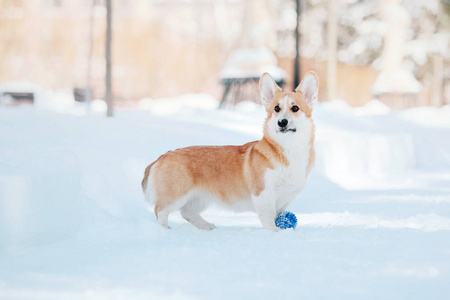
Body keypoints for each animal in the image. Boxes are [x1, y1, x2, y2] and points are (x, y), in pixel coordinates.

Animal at [142, 71, 318, 231]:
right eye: (276, 108)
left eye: (295, 108)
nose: (282, 122)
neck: (289, 149)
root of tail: (161, 157)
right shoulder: (263, 194)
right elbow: (268, 218)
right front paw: (274, 232)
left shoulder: (283, 200)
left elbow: (277, 215)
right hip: (176, 195)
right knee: (160, 211)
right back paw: (166, 230)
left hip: (199, 198)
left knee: (187, 213)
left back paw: (206, 226)